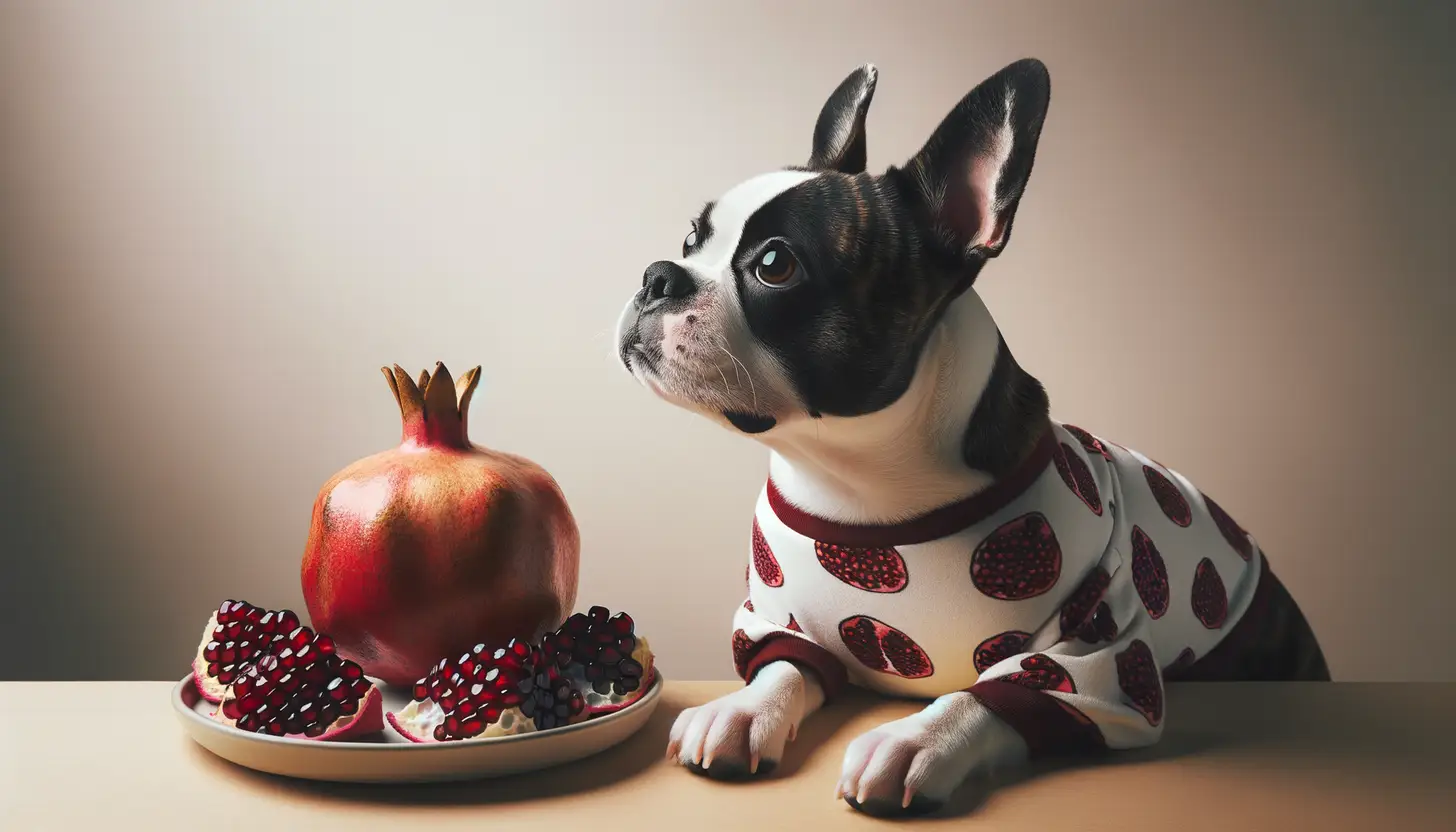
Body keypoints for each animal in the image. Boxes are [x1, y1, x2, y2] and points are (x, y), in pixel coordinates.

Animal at [614, 60, 1333, 821]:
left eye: (775, 264)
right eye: (691, 238)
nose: (657, 274)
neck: (853, 480)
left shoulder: (1094, 648)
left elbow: (987, 695)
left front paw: (914, 742)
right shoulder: (784, 619)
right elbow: (782, 666)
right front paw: (744, 711)